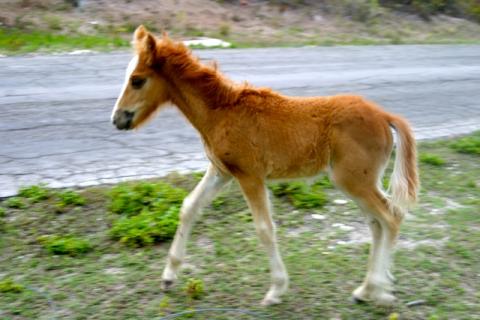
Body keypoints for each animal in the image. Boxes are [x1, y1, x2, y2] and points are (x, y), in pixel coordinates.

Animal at [111, 26, 416, 306]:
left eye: (137, 80)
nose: (117, 119)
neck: (221, 112)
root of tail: (385, 116)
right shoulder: (221, 172)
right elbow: (189, 207)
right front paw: (168, 276)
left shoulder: (250, 176)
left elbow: (264, 228)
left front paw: (276, 290)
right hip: (359, 182)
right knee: (377, 223)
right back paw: (366, 289)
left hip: (353, 181)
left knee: (390, 217)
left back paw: (380, 290)